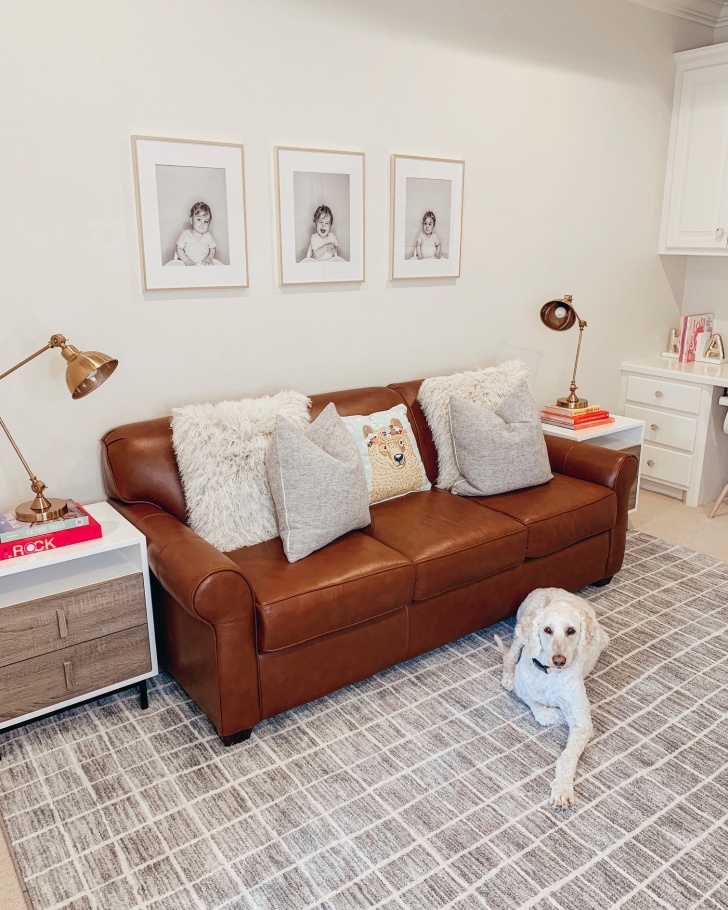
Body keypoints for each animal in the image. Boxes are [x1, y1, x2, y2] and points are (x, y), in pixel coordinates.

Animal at [494, 592, 608, 812]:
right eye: (547, 630)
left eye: (571, 630)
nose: (559, 660)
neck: (549, 674)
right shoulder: (525, 692)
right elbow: (540, 712)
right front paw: (558, 714)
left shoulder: (582, 722)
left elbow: (567, 757)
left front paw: (562, 789)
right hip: (520, 635)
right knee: (509, 656)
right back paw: (508, 678)